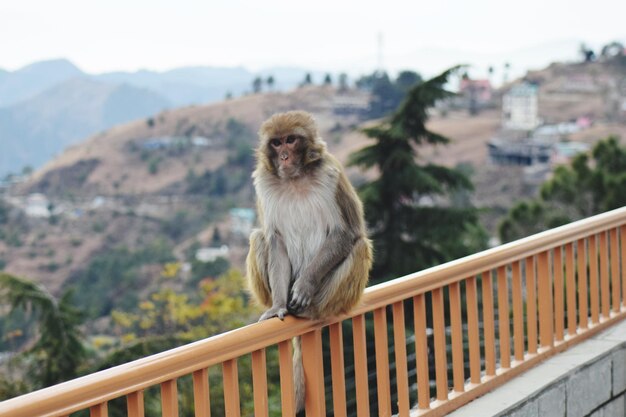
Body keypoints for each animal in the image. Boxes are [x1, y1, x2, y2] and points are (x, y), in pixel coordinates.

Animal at [244, 109, 370, 410]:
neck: (296, 177)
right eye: (276, 143)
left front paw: (304, 285)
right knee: (259, 237)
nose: (284, 156)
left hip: (334, 298)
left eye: (291, 140)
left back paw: (310, 310)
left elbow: (346, 232)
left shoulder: (330, 173)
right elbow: (275, 240)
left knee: (359, 246)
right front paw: (279, 306)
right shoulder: (264, 183)